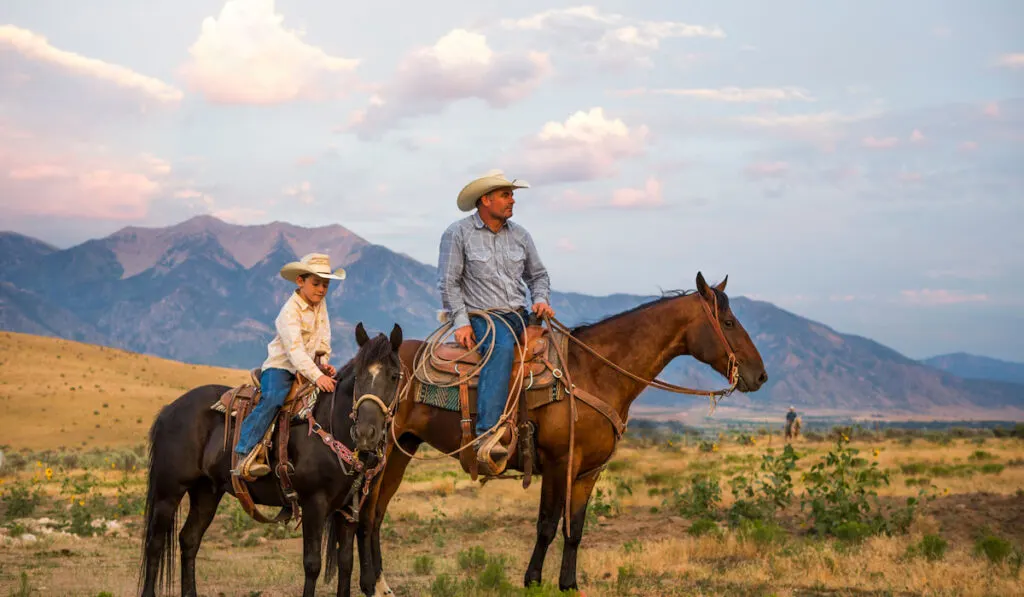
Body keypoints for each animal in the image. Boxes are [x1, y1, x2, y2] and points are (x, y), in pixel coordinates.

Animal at [138, 325, 401, 593]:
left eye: (394, 376)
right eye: (358, 376)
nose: (365, 433)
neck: (330, 426)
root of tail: (169, 409)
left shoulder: (347, 509)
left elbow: (345, 562)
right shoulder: (314, 504)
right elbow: (312, 564)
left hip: (206, 492)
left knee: (189, 540)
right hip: (169, 491)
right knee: (155, 544)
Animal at [356, 272, 765, 593]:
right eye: (728, 322)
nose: (759, 375)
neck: (595, 372)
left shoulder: (587, 471)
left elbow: (575, 528)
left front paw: (569, 584)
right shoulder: (558, 463)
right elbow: (547, 525)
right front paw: (533, 581)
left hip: (402, 450)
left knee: (377, 515)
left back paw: (382, 584)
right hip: (381, 453)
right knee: (365, 515)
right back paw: (367, 584)